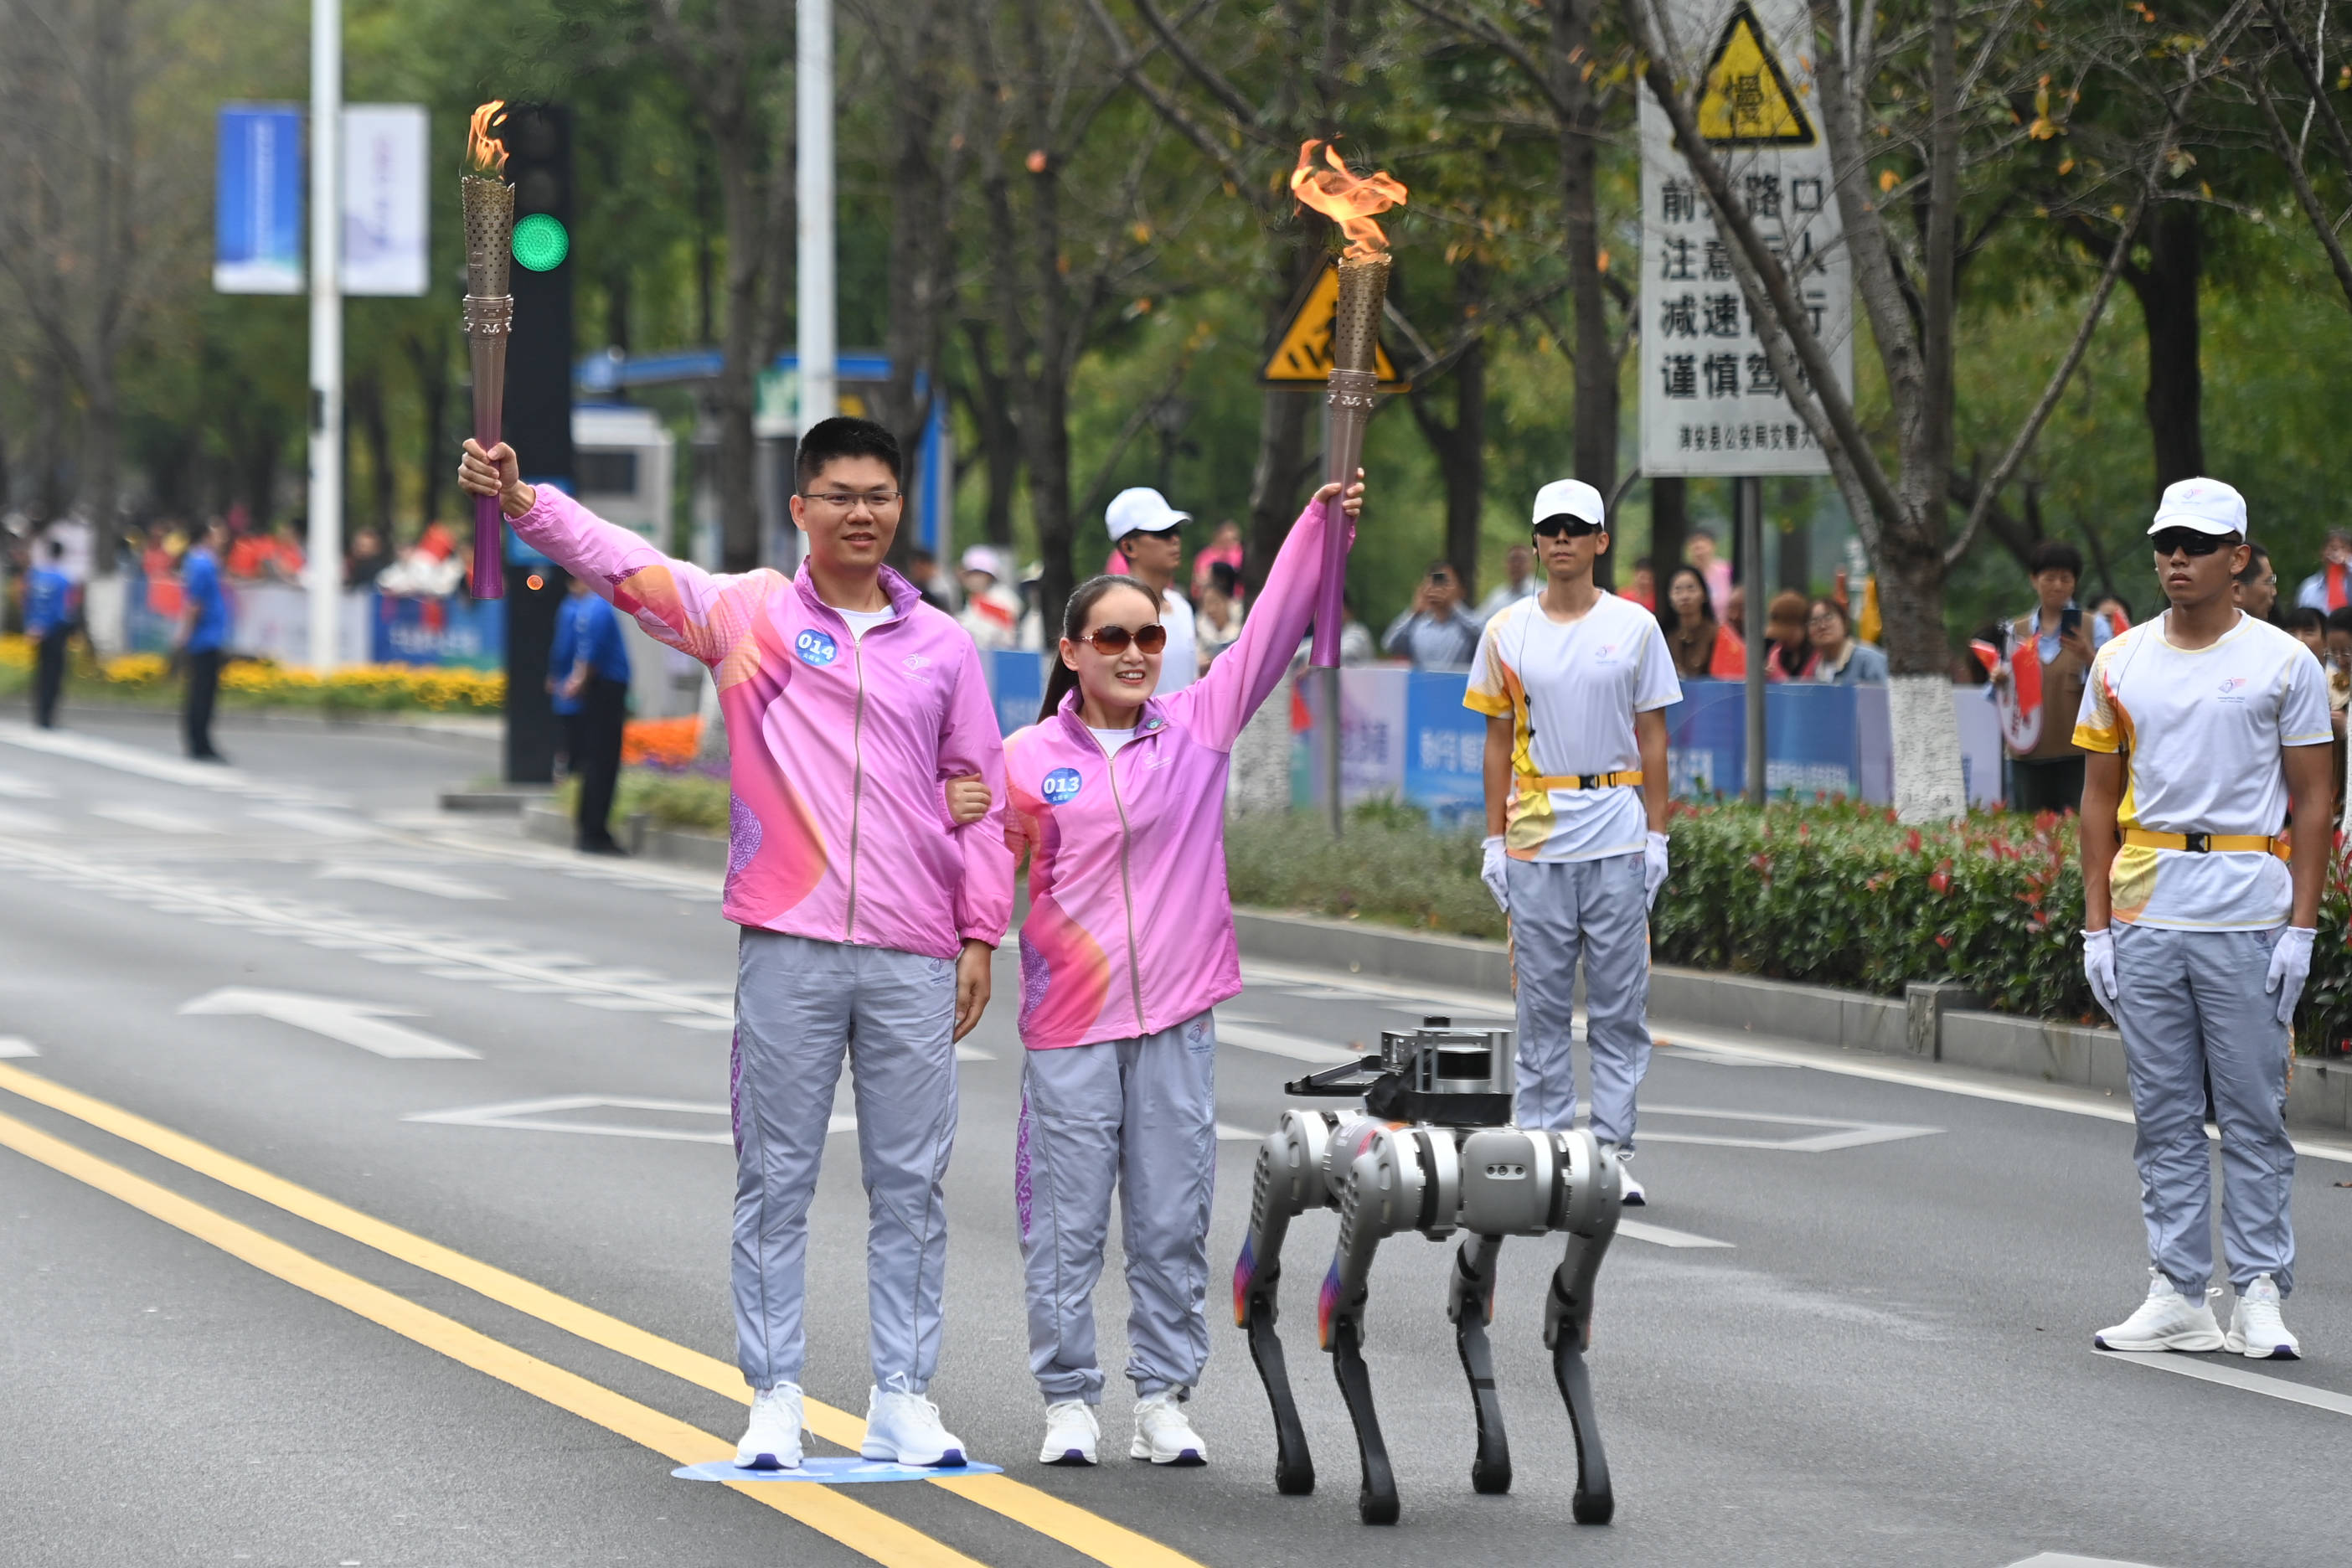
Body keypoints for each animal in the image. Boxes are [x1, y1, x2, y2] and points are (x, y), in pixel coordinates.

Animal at [1232, 1020, 1617, 1523]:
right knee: (1263, 1261)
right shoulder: (1375, 1187)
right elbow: (1341, 1315)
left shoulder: (1590, 1192)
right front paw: (1376, 1489)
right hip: (1301, 1165)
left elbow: (1563, 1311)